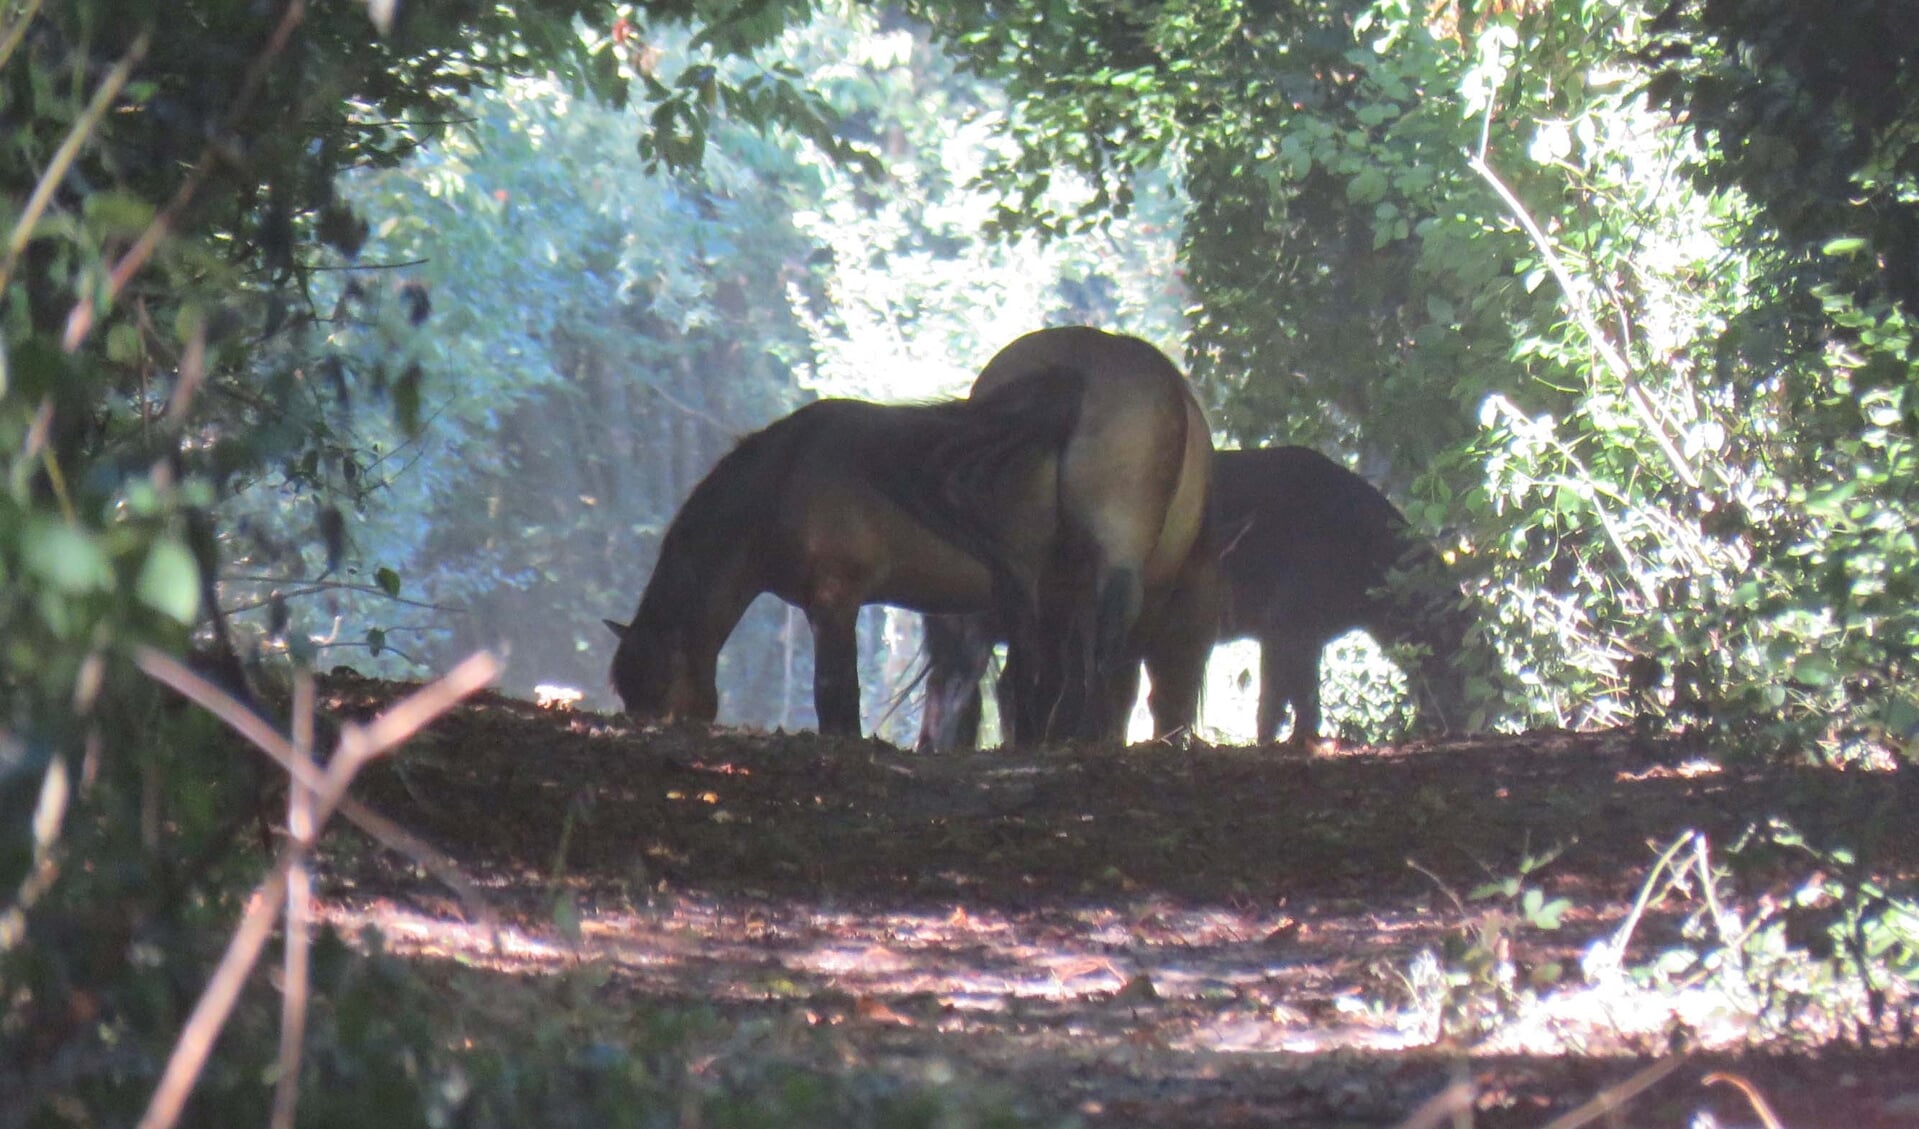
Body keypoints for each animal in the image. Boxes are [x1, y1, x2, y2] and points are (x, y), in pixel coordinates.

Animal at [913, 445, 1466, 752]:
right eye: (1453, 652)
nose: (1452, 721)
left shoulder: (1288, 636)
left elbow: (1284, 696)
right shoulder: (1289, 630)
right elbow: (1290, 697)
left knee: (973, 690)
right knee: (980, 689)